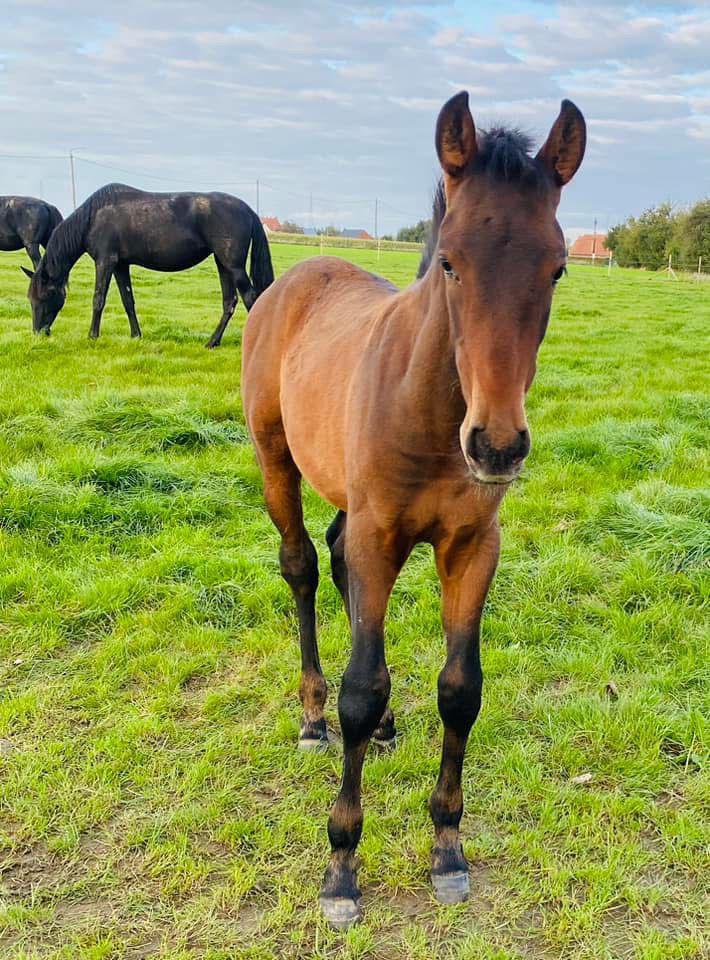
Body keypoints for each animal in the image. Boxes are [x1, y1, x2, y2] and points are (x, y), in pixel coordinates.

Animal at [22, 184, 273, 347]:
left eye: (45, 296)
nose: (38, 332)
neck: (94, 217)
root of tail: (248, 210)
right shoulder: (120, 265)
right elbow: (128, 300)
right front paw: (136, 335)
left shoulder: (105, 261)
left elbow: (98, 299)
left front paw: (92, 335)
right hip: (223, 263)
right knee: (229, 302)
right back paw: (212, 342)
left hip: (234, 266)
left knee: (251, 298)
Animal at [241, 91, 586, 928]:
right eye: (452, 260)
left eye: (558, 267)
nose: (497, 444)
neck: (431, 410)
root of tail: (299, 273)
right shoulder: (381, 534)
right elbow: (361, 690)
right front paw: (341, 866)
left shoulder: (472, 544)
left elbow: (460, 690)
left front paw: (448, 849)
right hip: (277, 461)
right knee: (302, 565)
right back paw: (311, 717)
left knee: (333, 560)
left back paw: (390, 726)